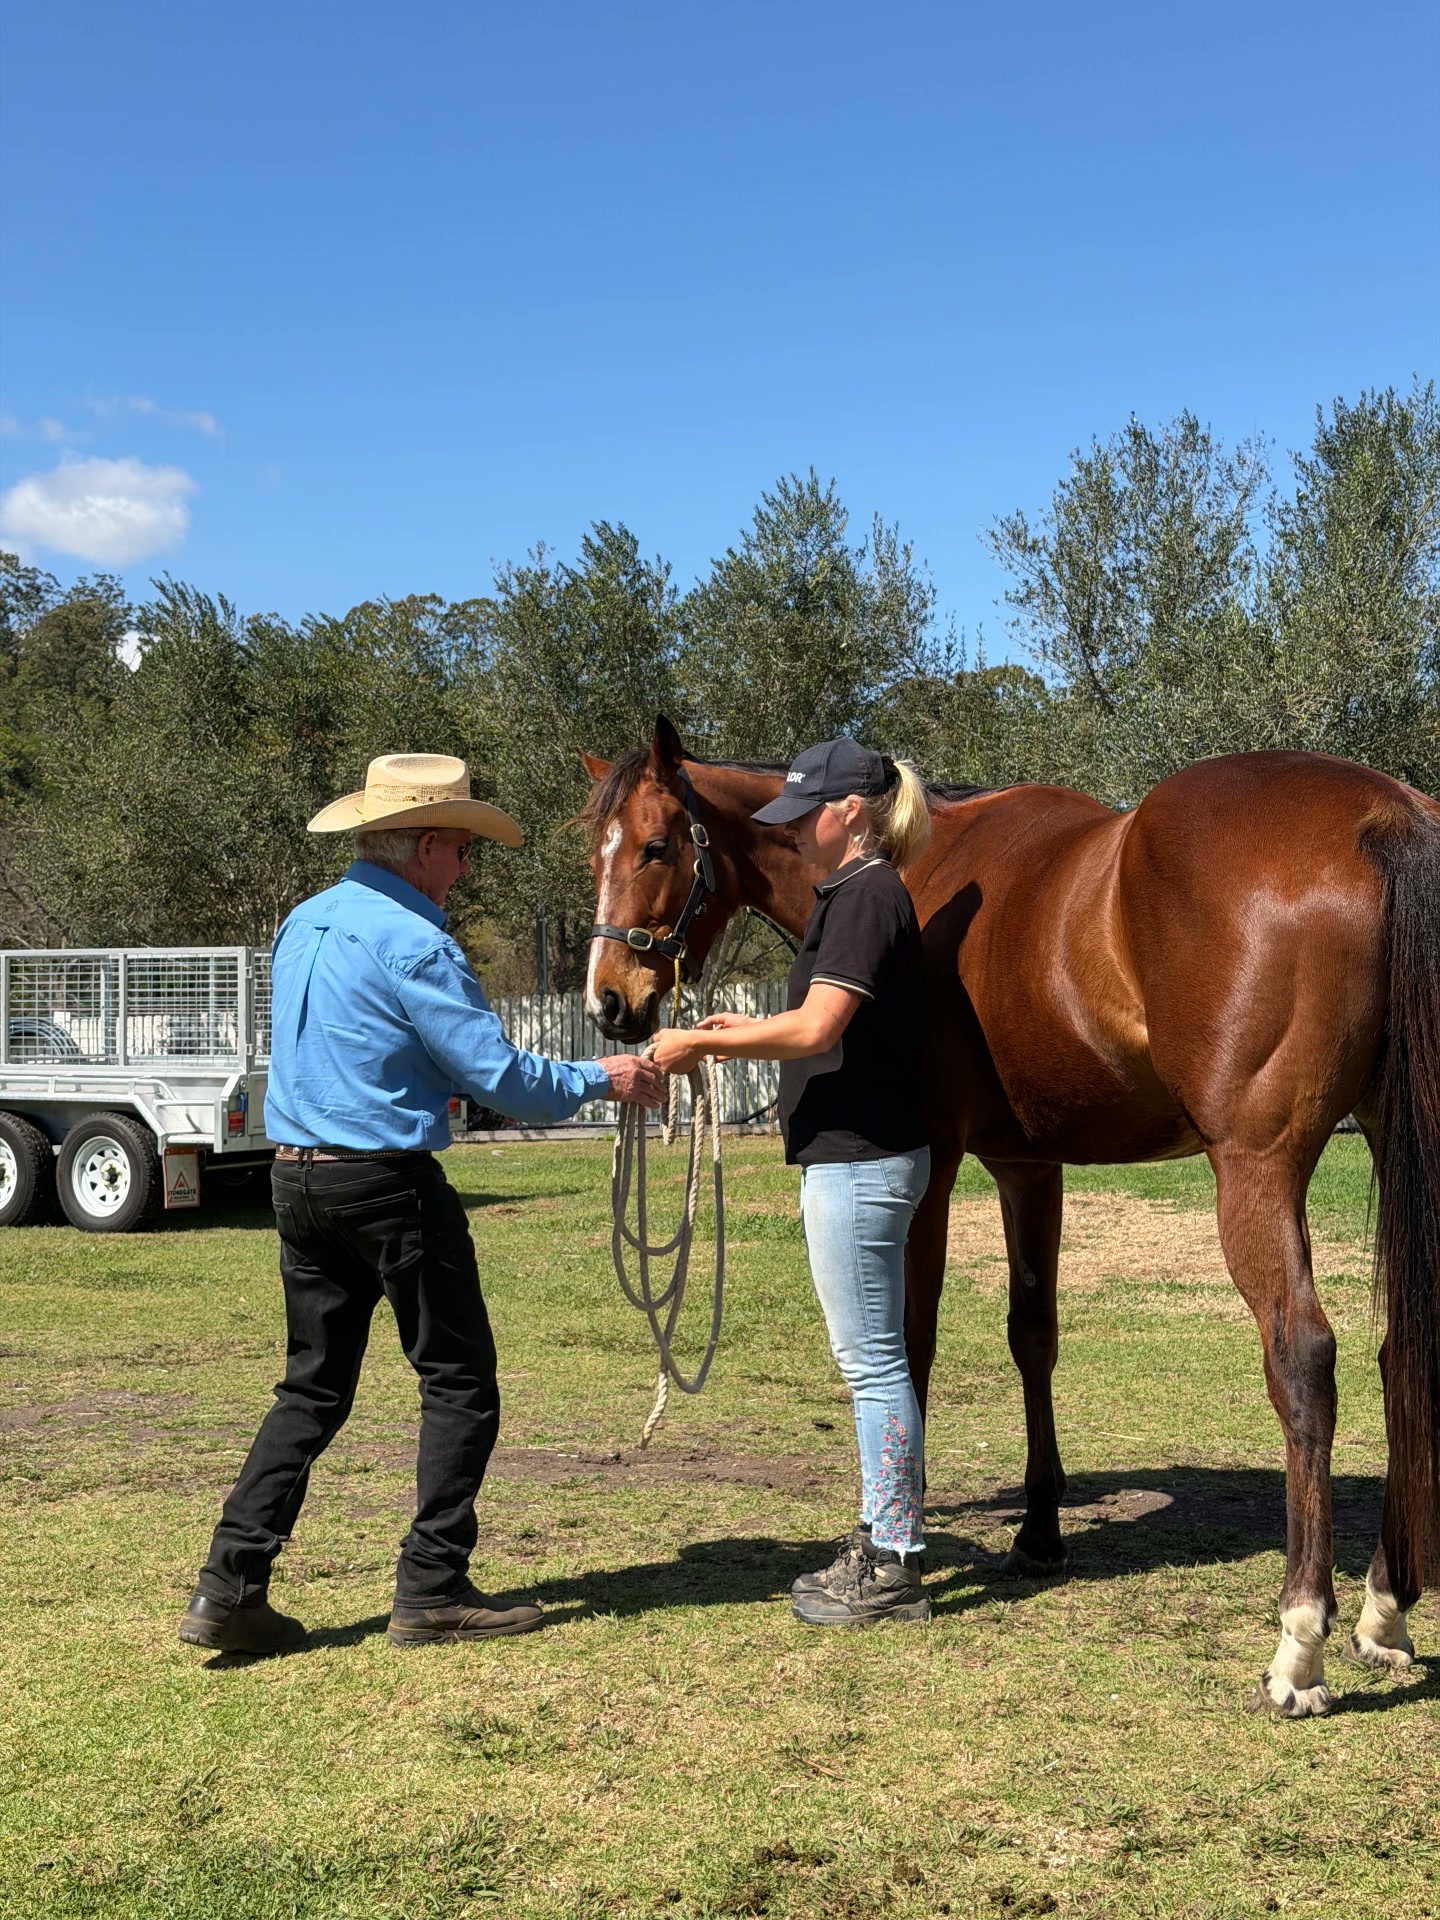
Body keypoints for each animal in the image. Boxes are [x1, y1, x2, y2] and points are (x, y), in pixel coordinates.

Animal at [578, 716, 1439, 1716]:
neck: (911, 866)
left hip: (1258, 1169)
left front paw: (891, 1549)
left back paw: (1301, 1641)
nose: (610, 1002)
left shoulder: (932, 1164)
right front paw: (1038, 1532)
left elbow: (908, 1347)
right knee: (1404, 1350)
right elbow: (1033, 1336)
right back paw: (1387, 1609)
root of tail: (1385, 815)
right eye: (595, 851)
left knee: (1303, 1358)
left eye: (655, 845)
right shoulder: (1030, 1167)